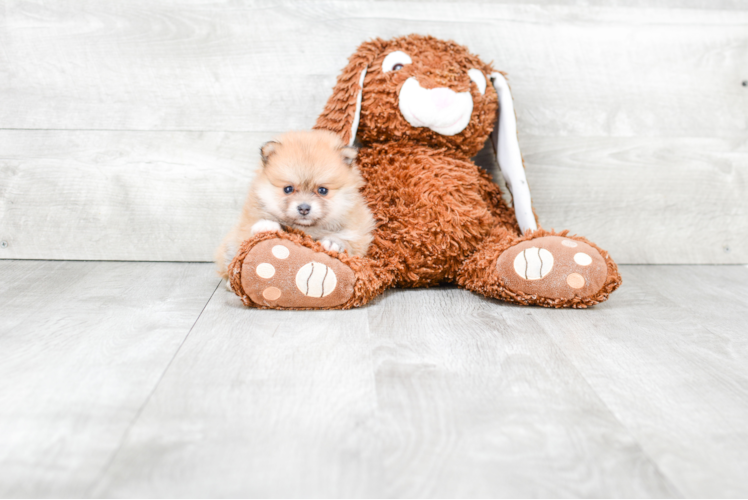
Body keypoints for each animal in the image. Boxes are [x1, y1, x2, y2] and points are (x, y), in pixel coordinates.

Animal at [216, 129, 374, 282]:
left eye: (322, 190)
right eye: (288, 189)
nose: (304, 208)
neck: (307, 229)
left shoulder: (359, 234)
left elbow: (349, 242)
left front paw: (333, 241)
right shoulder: (244, 227)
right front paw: (266, 225)